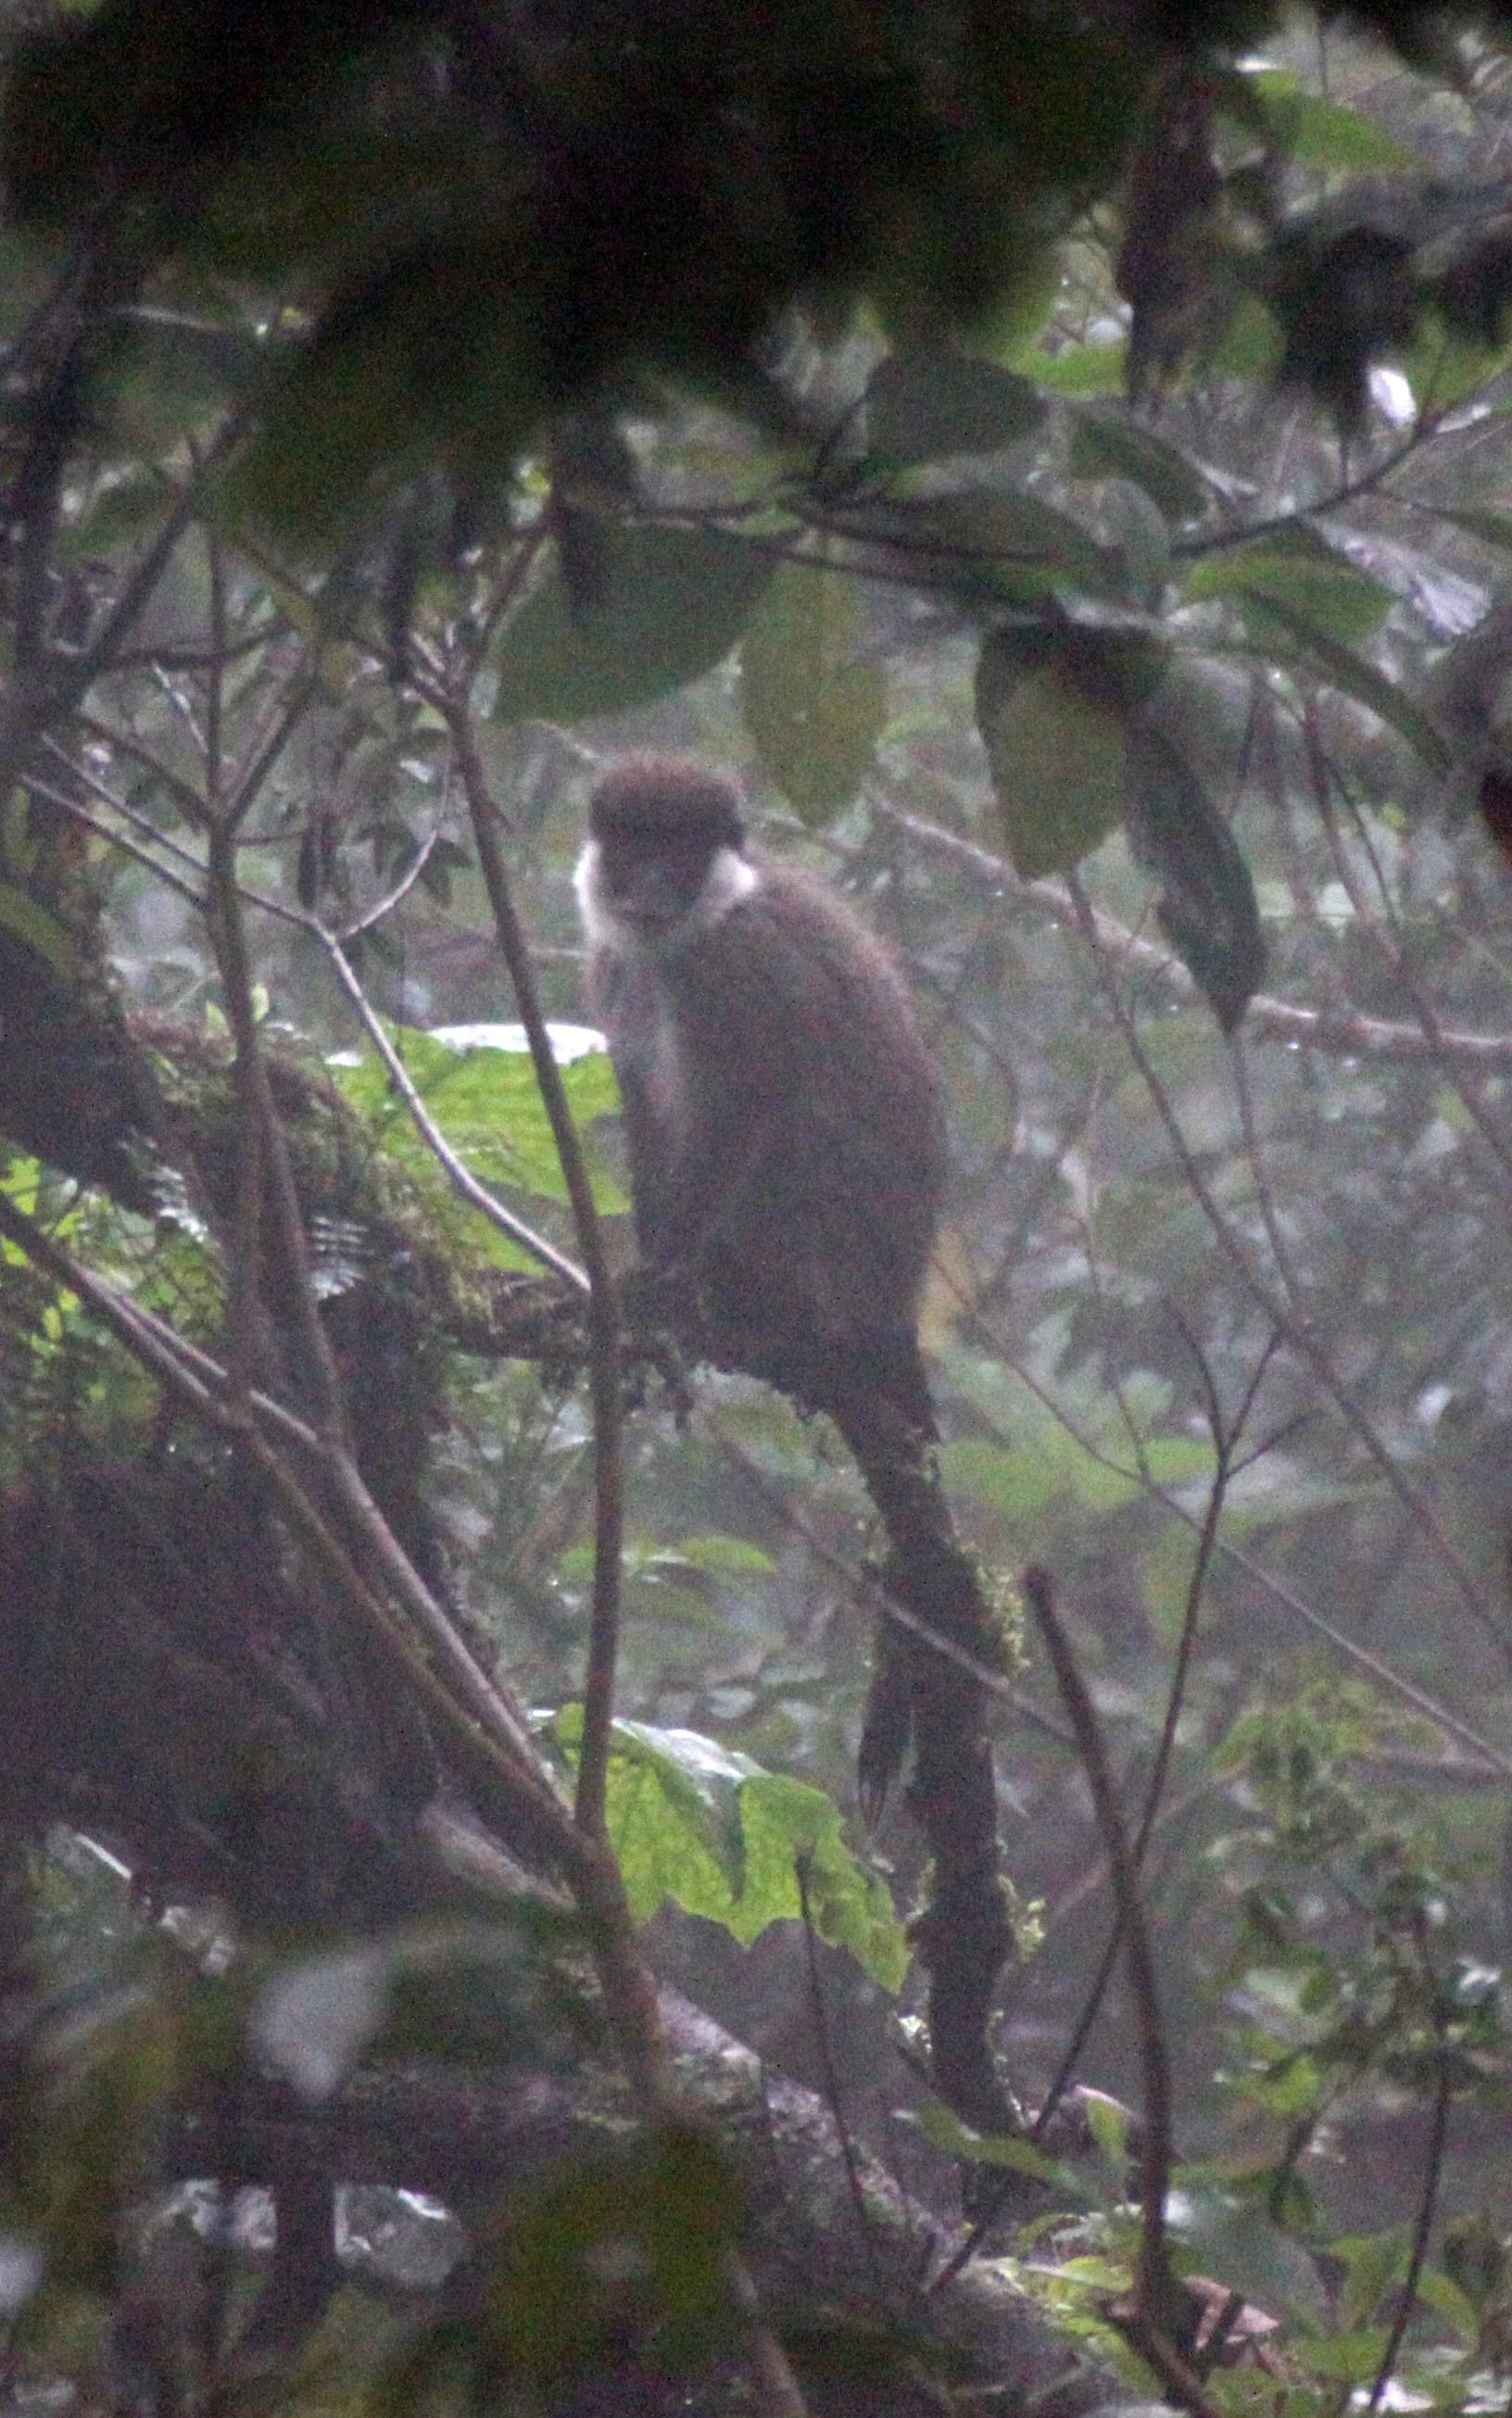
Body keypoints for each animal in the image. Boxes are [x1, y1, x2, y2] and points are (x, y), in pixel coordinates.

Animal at [575, 755, 946, 1441]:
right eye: (635, 849)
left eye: (678, 855)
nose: (651, 888)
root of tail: (892, 1312)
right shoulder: (612, 966)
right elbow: (647, 1112)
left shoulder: (735, 969)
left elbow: (743, 1109)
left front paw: (665, 1276)